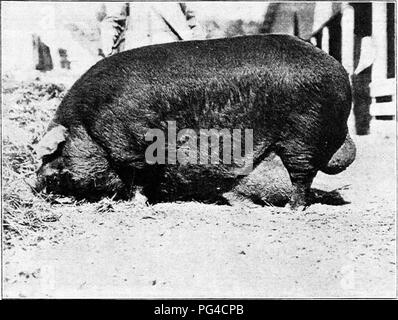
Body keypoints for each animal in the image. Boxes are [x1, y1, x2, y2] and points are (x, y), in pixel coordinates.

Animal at [35, 34, 356, 208]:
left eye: (56, 154)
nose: (34, 181)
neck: (89, 126)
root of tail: (341, 73)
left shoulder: (135, 145)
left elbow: (138, 177)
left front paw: (134, 202)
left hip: (303, 135)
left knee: (302, 177)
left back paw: (291, 208)